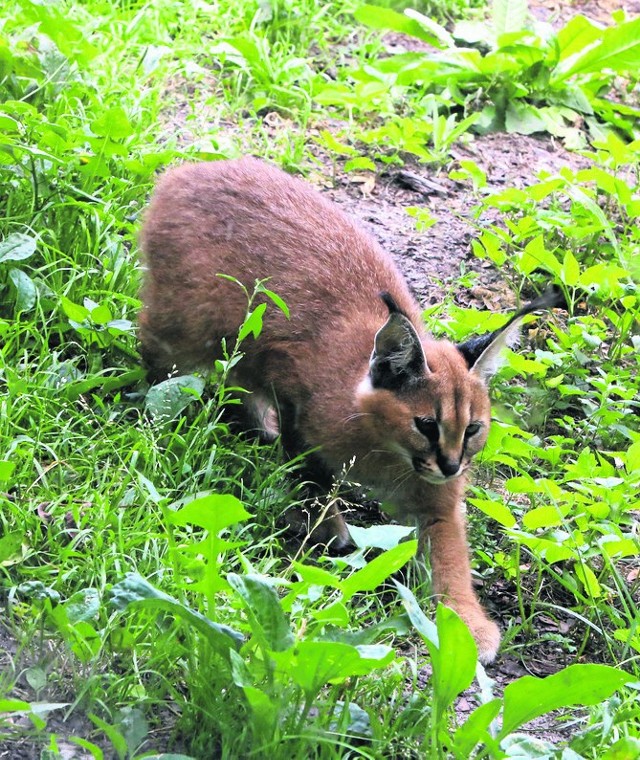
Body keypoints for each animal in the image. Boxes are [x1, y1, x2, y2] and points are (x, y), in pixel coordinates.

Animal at [139, 154, 560, 660]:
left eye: (473, 429)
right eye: (426, 425)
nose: (452, 466)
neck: (387, 451)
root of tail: (193, 168)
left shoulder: (436, 499)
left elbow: (450, 555)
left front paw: (466, 625)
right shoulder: (298, 406)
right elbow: (314, 479)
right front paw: (331, 531)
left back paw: (255, 424)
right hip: (192, 321)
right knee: (156, 351)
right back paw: (157, 413)